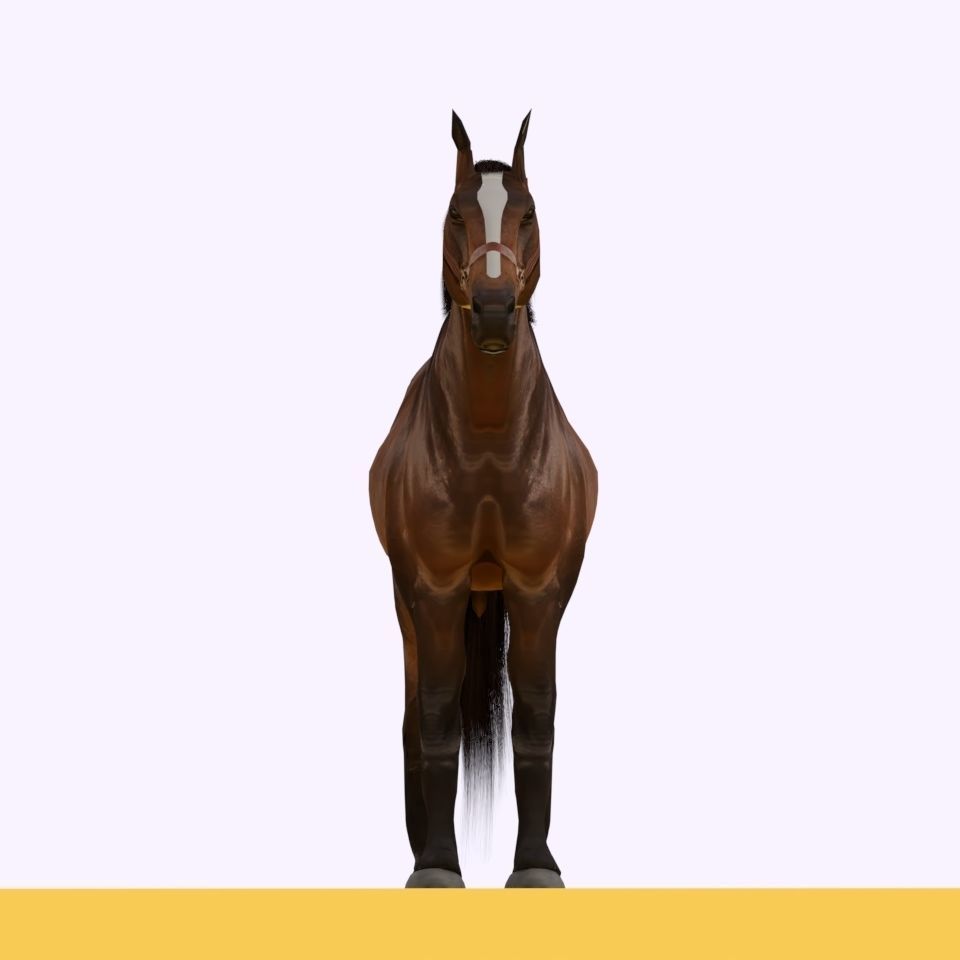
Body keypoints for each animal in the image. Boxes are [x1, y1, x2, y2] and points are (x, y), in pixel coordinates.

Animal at [369, 111, 598, 888]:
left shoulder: (538, 588)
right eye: (454, 216)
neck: (491, 447)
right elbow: (438, 717)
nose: (495, 311)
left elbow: (534, 715)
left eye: (526, 215)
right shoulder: (434, 586)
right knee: (414, 715)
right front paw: (437, 867)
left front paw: (536, 868)